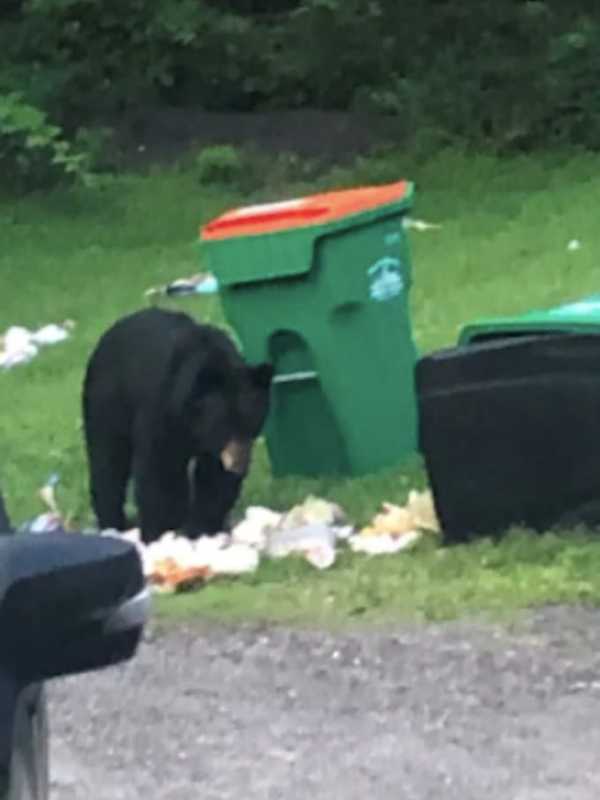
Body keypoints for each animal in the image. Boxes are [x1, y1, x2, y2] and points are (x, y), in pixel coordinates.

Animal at [82, 306, 274, 544]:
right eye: (225, 426)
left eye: (252, 423)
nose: (239, 464)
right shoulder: (161, 409)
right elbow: (159, 470)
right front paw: (160, 532)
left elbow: (214, 479)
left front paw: (200, 528)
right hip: (107, 403)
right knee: (107, 462)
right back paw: (113, 523)